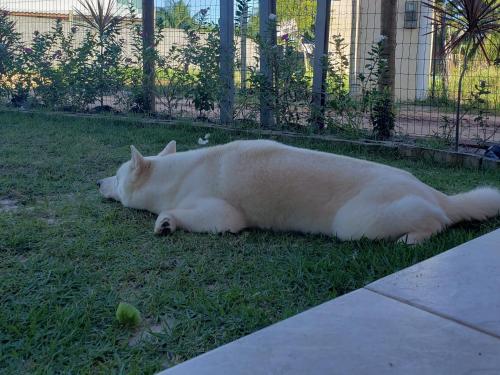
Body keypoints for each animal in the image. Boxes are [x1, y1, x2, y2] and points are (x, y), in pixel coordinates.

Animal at [97, 140, 500, 245]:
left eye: (115, 176)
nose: (97, 183)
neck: (178, 174)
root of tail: (434, 192)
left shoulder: (223, 216)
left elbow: (184, 215)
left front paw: (167, 222)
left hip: (355, 224)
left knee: (439, 220)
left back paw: (413, 238)